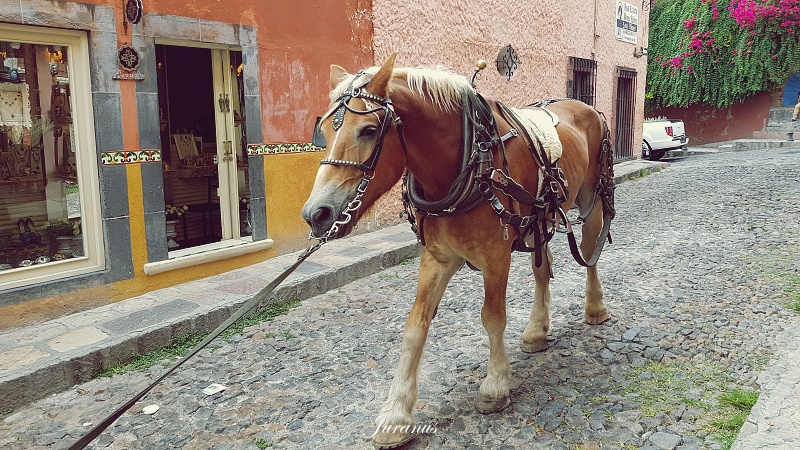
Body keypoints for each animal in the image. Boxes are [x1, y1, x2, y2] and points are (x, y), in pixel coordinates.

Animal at [296, 54, 616, 448]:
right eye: (324, 132)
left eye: (369, 130)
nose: (316, 214)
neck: (465, 162)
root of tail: (582, 105)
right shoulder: (438, 257)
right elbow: (415, 326)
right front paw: (396, 413)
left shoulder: (496, 255)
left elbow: (492, 317)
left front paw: (495, 385)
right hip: (539, 219)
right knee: (543, 268)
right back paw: (536, 331)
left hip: (592, 200)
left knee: (589, 252)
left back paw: (595, 308)